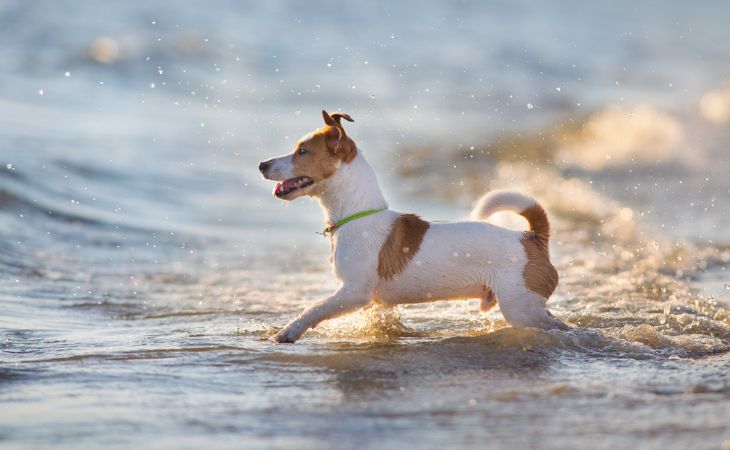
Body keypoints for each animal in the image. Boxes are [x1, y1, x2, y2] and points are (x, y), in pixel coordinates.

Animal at [258, 110, 568, 342]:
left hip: (520, 307)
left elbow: (314, 309)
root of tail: (532, 237)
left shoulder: (354, 292)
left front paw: (288, 331)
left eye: (302, 151)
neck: (358, 214)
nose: (262, 164)